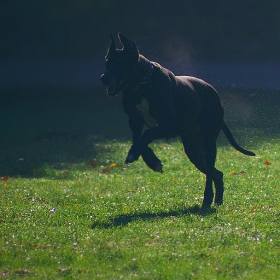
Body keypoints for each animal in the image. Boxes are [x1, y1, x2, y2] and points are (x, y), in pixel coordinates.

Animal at [100, 32, 256, 208]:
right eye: (107, 63)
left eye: (120, 64)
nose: (103, 78)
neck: (142, 84)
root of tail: (215, 96)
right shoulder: (134, 121)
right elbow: (139, 139)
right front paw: (151, 160)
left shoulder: (170, 126)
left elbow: (147, 134)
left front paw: (139, 155)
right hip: (193, 148)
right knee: (217, 173)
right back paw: (217, 200)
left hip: (208, 140)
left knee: (210, 171)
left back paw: (207, 199)